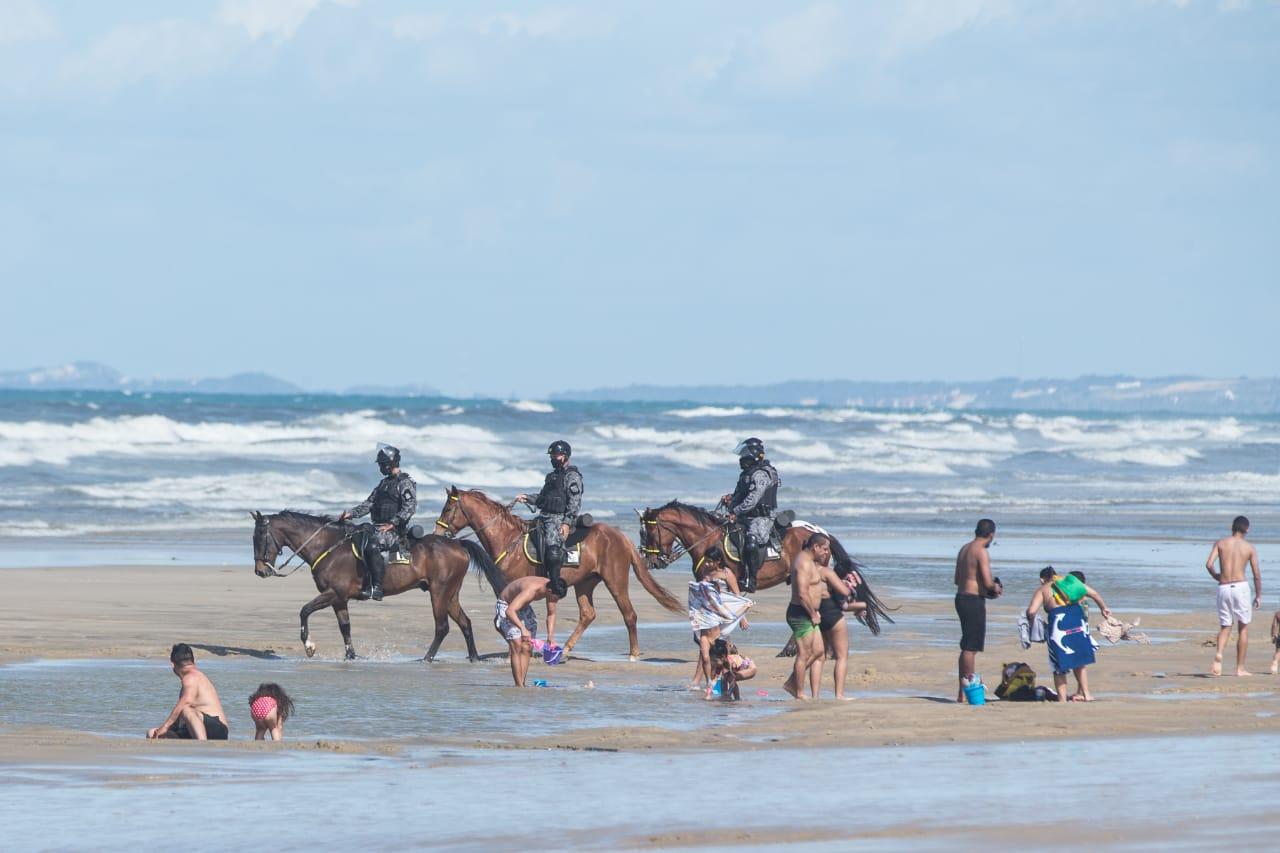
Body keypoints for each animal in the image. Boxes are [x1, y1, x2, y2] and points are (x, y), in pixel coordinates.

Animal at [249, 507, 504, 660]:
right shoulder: (339, 600)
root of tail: (458, 543)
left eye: (260, 537)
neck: (328, 546)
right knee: (465, 623)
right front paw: (350, 656)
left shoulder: (334, 593)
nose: (260, 571)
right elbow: (345, 627)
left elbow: (304, 611)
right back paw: (473, 658)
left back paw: (427, 659)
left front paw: (309, 646)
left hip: (439, 593)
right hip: (450, 594)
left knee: (442, 627)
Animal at [432, 484, 691, 655]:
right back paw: (565, 649)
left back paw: (634, 654)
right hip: (585, 583)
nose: (438, 533)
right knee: (588, 614)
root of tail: (620, 536)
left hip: (615, 581)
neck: (508, 539)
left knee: (629, 614)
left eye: (447, 509)